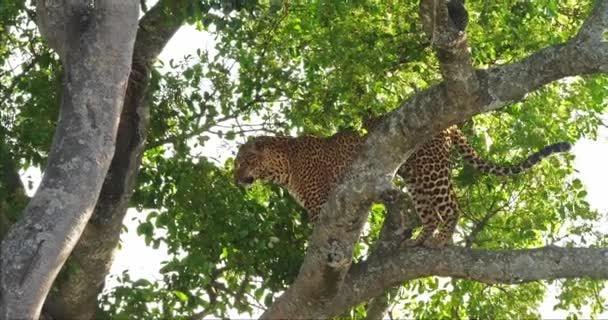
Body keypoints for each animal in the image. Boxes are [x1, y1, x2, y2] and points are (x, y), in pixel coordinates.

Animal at [234, 125, 568, 248]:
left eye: (242, 161)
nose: (235, 179)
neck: (284, 167)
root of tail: (450, 125)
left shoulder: (321, 205)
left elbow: (321, 236)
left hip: (432, 171)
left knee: (452, 205)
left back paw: (439, 241)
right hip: (417, 179)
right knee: (430, 213)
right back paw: (419, 239)